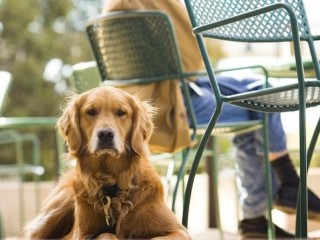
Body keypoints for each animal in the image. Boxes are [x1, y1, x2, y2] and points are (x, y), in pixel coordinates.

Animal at [21, 85, 190, 239]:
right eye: (91, 112)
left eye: (121, 113)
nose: (105, 134)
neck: (112, 185)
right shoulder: (82, 234)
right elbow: (107, 234)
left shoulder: (178, 230)